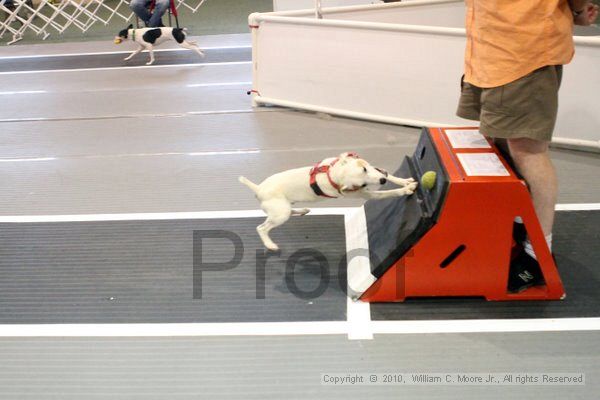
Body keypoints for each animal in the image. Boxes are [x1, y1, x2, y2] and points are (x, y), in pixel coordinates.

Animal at [239, 152, 418, 250]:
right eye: (362, 184)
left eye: (365, 168)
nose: (381, 180)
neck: (333, 173)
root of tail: (258, 188)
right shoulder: (363, 194)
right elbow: (387, 193)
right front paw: (405, 189)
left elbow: (389, 174)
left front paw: (404, 181)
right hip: (280, 215)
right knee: (262, 228)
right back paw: (270, 244)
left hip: (284, 210)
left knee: (289, 212)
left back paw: (302, 211)